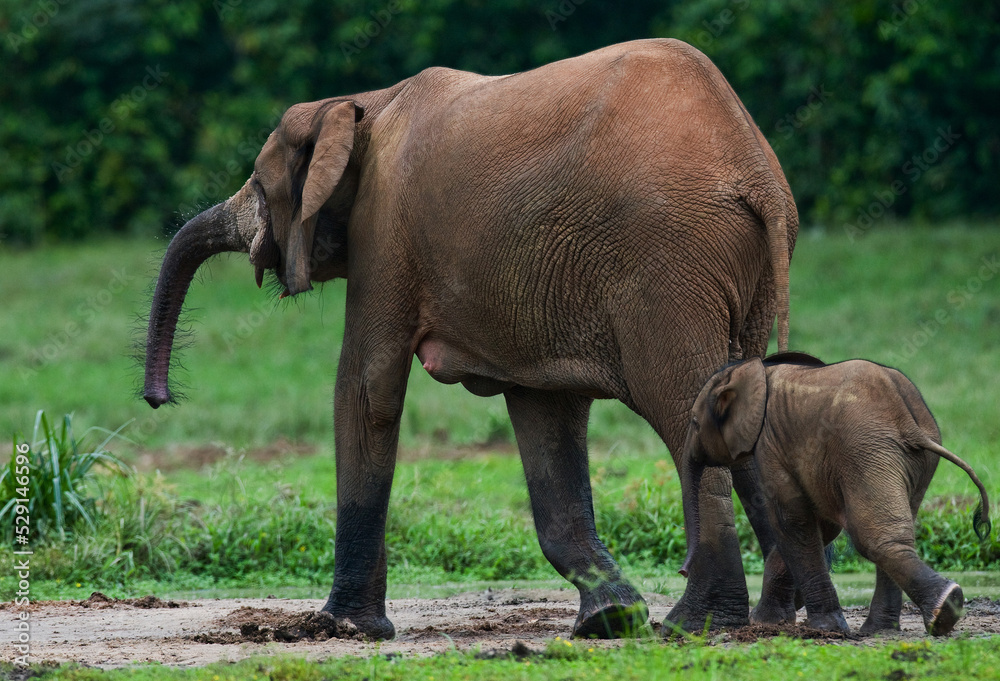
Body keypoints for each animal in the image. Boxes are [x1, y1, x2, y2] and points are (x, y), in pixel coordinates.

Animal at [143, 39, 796, 636]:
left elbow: (367, 390)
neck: (360, 104)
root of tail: (756, 174)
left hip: (665, 265)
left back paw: (697, 625)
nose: (158, 398)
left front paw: (341, 627)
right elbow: (543, 416)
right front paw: (610, 620)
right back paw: (775, 619)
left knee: (691, 412)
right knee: (741, 409)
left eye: (258, 182)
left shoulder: (384, 227)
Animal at [680, 354, 992, 636]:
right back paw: (886, 629)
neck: (754, 371)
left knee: (871, 536)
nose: (682, 572)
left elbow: (792, 521)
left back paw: (940, 612)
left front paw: (819, 629)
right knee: (895, 531)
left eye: (694, 422)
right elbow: (820, 525)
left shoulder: (771, 444)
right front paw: (768, 623)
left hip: (865, 449)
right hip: (909, 460)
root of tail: (908, 421)